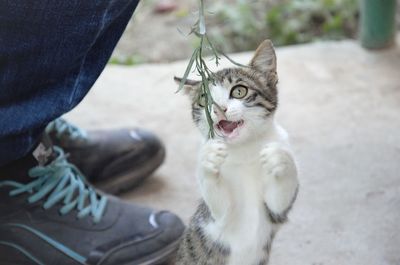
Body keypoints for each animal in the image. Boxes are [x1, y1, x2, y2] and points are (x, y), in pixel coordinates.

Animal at [173, 39, 298, 264]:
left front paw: (281, 158)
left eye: (239, 91)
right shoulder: (214, 220)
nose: (219, 108)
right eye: (204, 99)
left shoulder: (275, 213)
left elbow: (279, 200)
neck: (244, 149)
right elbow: (220, 205)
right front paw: (208, 158)